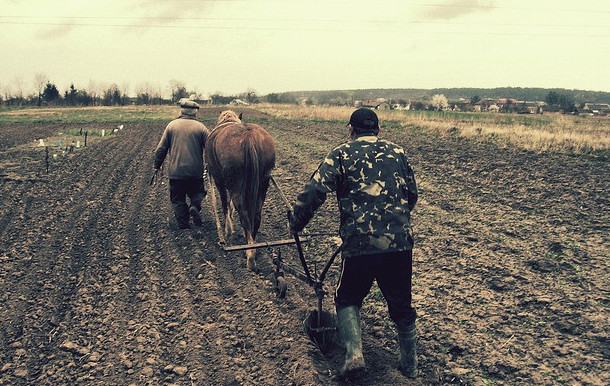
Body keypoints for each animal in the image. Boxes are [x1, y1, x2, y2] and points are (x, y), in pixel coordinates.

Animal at [204, 110, 276, 270]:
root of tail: (250, 135)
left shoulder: (219, 180)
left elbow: (225, 204)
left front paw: (227, 231)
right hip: (263, 182)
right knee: (256, 215)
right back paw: (252, 247)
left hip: (235, 182)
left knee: (243, 213)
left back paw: (250, 256)